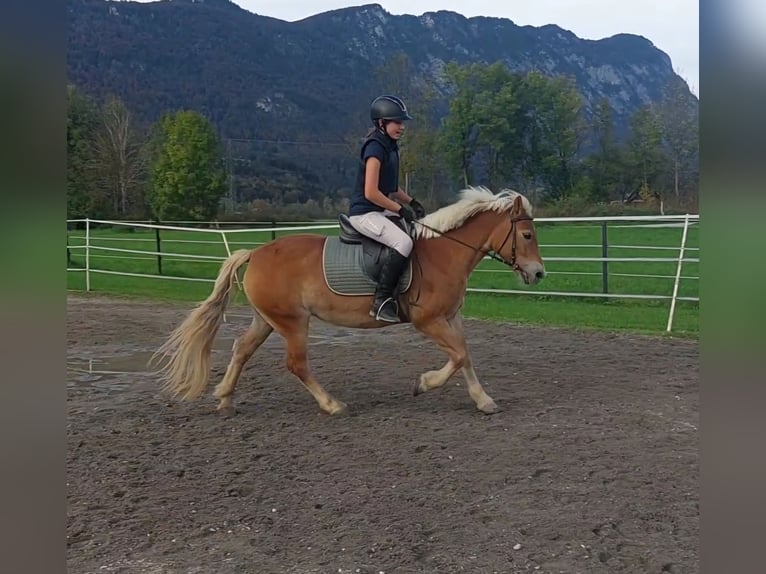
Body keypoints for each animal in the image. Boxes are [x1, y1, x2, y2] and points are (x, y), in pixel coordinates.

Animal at [152, 189, 544, 418]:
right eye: (526, 235)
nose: (538, 273)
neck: (443, 253)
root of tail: (257, 253)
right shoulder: (429, 321)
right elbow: (459, 355)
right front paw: (424, 383)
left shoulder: (451, 318)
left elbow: (466, 355)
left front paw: (483, 400)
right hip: (293, 323)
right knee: (296, 364)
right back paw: (332, 405)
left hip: (268, 320)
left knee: (241, 349)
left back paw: (225, 398)